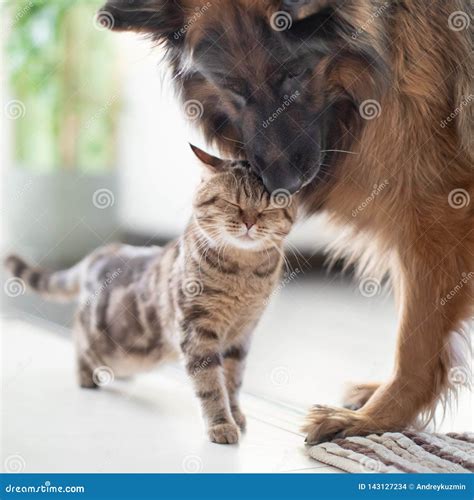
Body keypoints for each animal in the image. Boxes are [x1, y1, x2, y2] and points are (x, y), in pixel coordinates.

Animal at [5, 146, 296, 446]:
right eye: (231, 203)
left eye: (268, 208)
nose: (249, 222)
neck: (244, 273)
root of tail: (98, 254)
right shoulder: (197, 330)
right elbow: (211, 385)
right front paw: (221, 423)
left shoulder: (242, 335)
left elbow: (233, 381)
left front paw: (235, 414)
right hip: (95, 331)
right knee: (79, 341)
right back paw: (86, 375)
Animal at [98, 0, 472, 446]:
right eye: (233, 86)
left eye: (294, 73)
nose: (281, 187)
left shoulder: (439, 212)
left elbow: (415, 341)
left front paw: (373, 419)